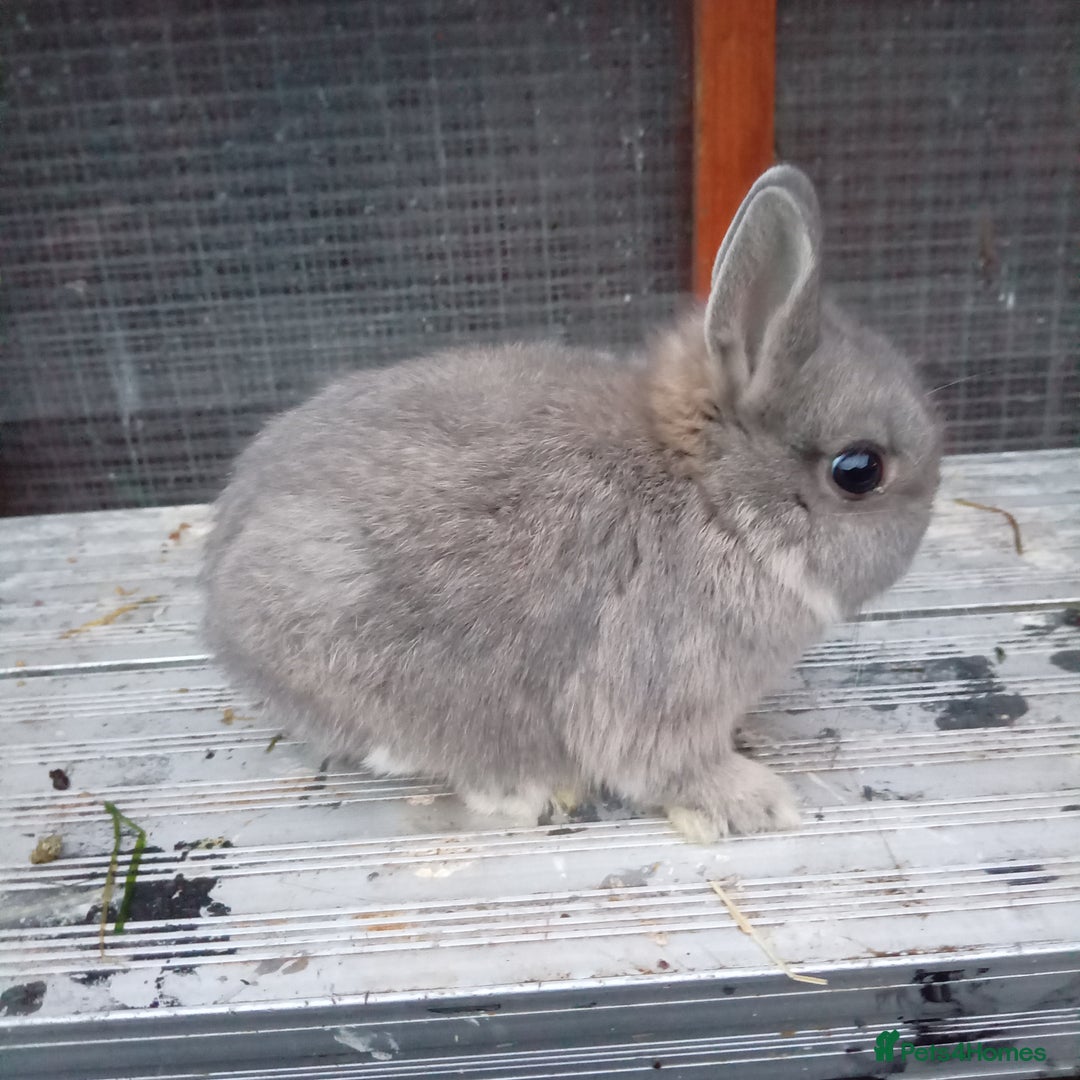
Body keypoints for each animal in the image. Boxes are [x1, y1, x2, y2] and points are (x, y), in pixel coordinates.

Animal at [201, 164, 942, 843]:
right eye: (859, 471)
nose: (927, 516)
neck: (717, 504)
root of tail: (221, 608)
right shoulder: (659, 683)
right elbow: (666, 764)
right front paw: (758, 801)